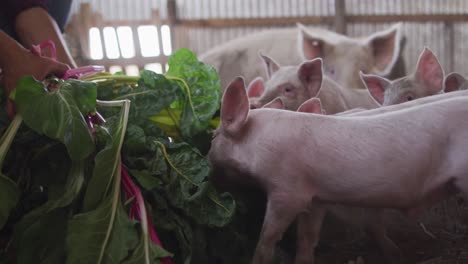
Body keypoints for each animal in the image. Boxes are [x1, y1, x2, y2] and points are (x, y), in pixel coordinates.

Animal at [209, 77, 468, 264]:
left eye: (213, 137)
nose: (208, 163)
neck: (258, 140)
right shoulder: (316, 198)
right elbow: (307, 238)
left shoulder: (287, 191)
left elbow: (268, 237)